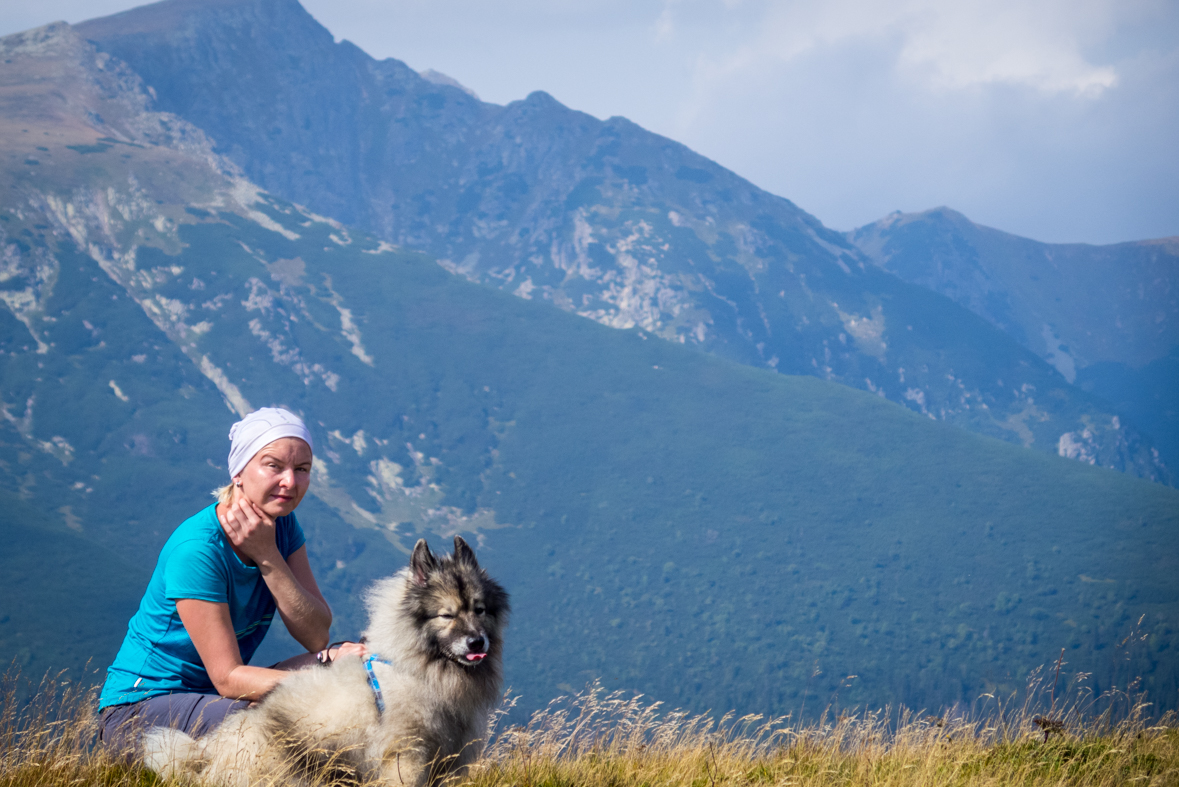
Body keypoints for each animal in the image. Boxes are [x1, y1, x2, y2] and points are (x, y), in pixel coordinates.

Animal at [141, 534, 506, 787]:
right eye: (446, 615)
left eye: (479, 609)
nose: (477, 641)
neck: (415, 666)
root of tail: (206, 755)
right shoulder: (406, 754)